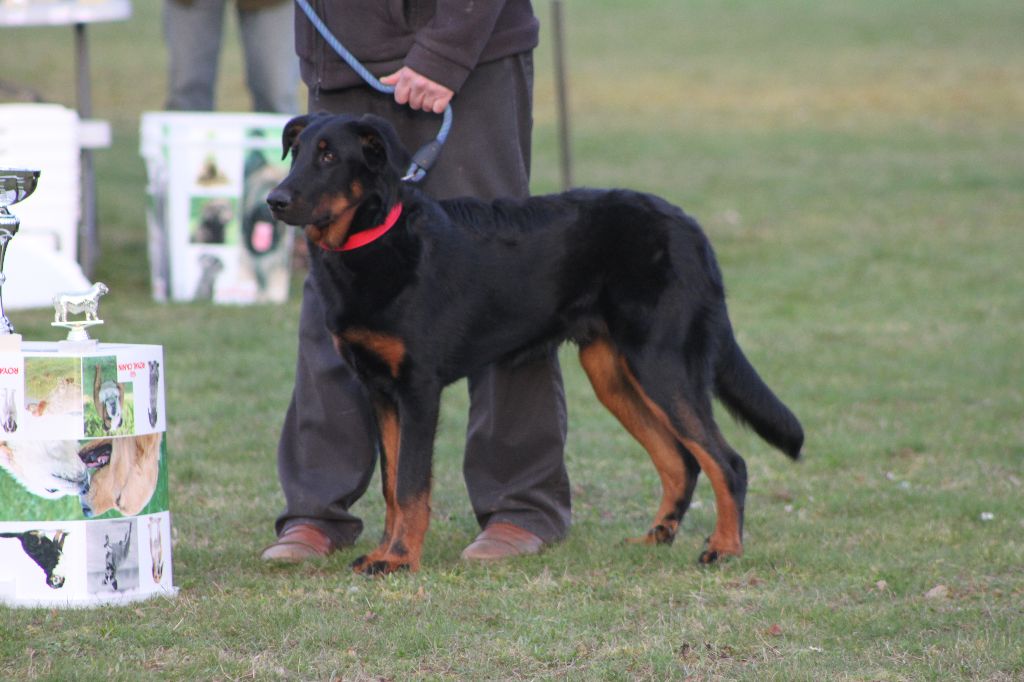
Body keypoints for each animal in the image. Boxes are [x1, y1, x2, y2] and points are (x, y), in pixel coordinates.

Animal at [268, 112, 802, 573]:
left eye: (329, 156)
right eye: (296, 152)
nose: (275, 199)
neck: (374, 238)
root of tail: (693, 229)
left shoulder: (418, 390)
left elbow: (412, 486)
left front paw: (399, 559)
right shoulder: (379, 389)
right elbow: (392, 486)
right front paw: (385, 552)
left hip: (663, 364)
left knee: (727, 462)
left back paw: (725, 548)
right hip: (613, 373)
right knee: (681, 460)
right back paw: (655, 538)